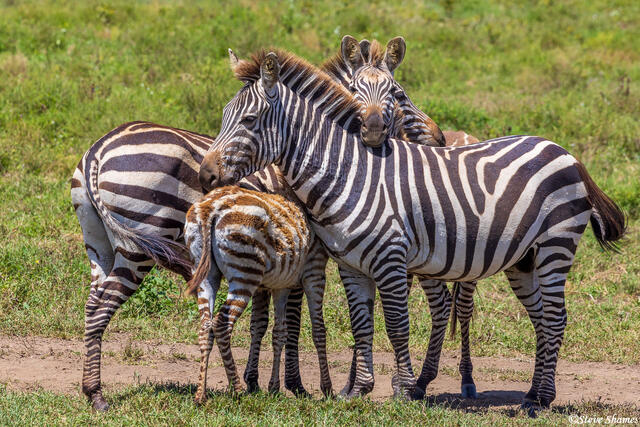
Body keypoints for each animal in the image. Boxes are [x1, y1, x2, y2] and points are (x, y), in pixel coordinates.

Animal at [181, 184, 324, 403]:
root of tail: (211, 208)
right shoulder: (312, 271)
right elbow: (315, 329)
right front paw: (327, 389)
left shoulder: (279, 285)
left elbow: (277, 331)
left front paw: (272, 387)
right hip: (245, 272)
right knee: (222, 324)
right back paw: (236, 389)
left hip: (205, 273)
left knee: (206, 325)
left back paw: (200, 394)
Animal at [198, 49, 626, 411]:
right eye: (222, 117)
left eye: (249, 121)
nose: (206, 175)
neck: (347, 172)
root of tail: (563, 151)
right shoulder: (351, 264)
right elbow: (361, 325)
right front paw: (357, 390)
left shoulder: (391, 258)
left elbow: (397, 326)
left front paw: (403, 391)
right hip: (524, 259)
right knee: (541, 318)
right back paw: (533, 393)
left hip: (556, 245)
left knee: (555, 317)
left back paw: (541, 400)